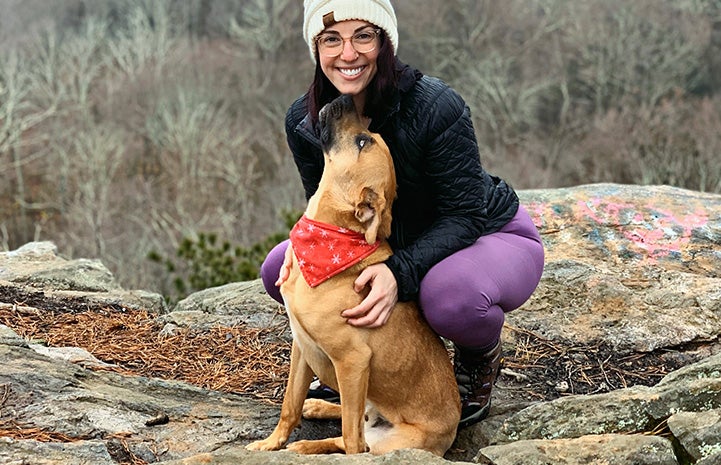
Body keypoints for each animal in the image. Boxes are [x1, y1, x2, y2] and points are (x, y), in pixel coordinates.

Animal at [248, 93, 458, 454]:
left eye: (362, 141)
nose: (345, 97)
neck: (333, 237)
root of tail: (454, 428)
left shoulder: (353, 360)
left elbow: (350, 437)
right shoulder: (301, 346)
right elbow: (290, 404)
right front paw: (271, 442)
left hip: (388, 437)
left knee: (355, 438)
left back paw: (308, 444)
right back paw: (315, 414)